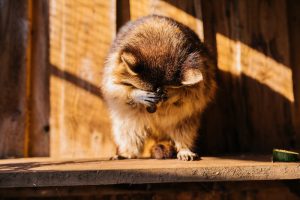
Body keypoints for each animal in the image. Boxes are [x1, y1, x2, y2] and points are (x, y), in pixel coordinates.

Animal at [102, 15, 217, 161]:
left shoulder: (202, 66)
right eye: (145, 89)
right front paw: (136, 94)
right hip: (129, 118)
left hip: (185, 118)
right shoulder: (114, 62)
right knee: (128, 131)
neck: (159, 43)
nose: (151, 110)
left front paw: (174, 93)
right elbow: (114, 88)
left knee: (184, 129)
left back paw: (184, 147)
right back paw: (128, 151)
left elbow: (194, 93)